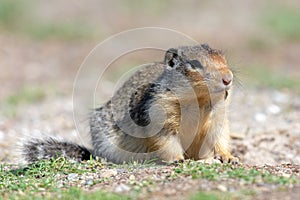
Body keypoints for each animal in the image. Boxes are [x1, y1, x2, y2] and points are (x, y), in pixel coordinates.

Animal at [22, 43, 239, 164]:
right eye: (195, 64)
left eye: (223, 57)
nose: (228, 78)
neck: (198, 101)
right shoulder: (158, 113)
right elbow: (166, 140)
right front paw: (178, 160)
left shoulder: (218, 117)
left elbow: (220, 137)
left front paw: (229, 157)